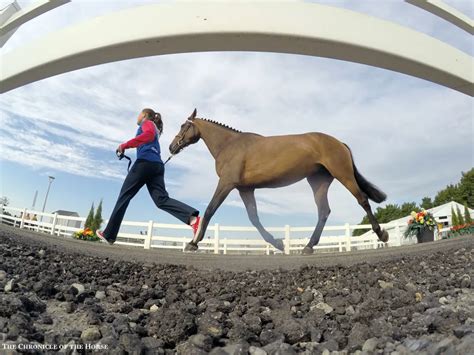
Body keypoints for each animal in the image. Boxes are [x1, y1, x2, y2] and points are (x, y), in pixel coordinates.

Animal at [168, 110, 386, 254]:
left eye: (183, 126)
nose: (171, 147)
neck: (230, 145)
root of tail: (339, 142)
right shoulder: (245, 189)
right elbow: (254, 218)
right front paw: (278, 244)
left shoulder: (226, 184)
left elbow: (210, 210)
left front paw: (193, 243)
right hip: (318, 183)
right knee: (324, 211)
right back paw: (308, 246)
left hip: (343, 175)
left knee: (362, 200)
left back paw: (381, 234)